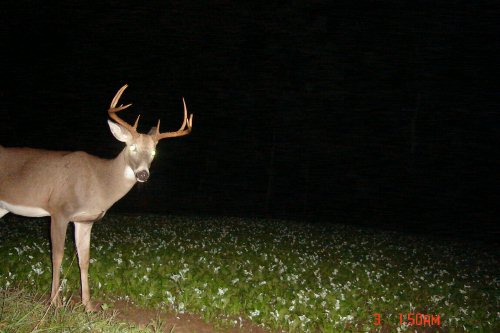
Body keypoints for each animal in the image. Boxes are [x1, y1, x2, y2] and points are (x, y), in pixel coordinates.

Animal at [0, 84, 193, 310]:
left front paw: (88, 305)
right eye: (132, 147)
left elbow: (84, 259)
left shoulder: (85, 220)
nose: (143, 174)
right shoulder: (59, 210)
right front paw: (55, 302)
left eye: (154, 153)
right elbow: (56, 256)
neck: (99, 183)